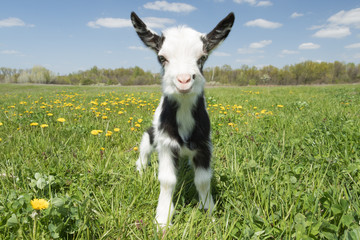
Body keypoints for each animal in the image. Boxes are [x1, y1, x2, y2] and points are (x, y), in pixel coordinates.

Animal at [131, 10, 235, 227]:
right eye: (162, 57)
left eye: (203, 57)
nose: (184, 80)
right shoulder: (166, 143)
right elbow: (167, 180)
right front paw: (163, 220)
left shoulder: (204, 144)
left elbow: (203, 179)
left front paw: (209, 212)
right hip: (151, 135)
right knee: (144, 151)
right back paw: (141, 171)